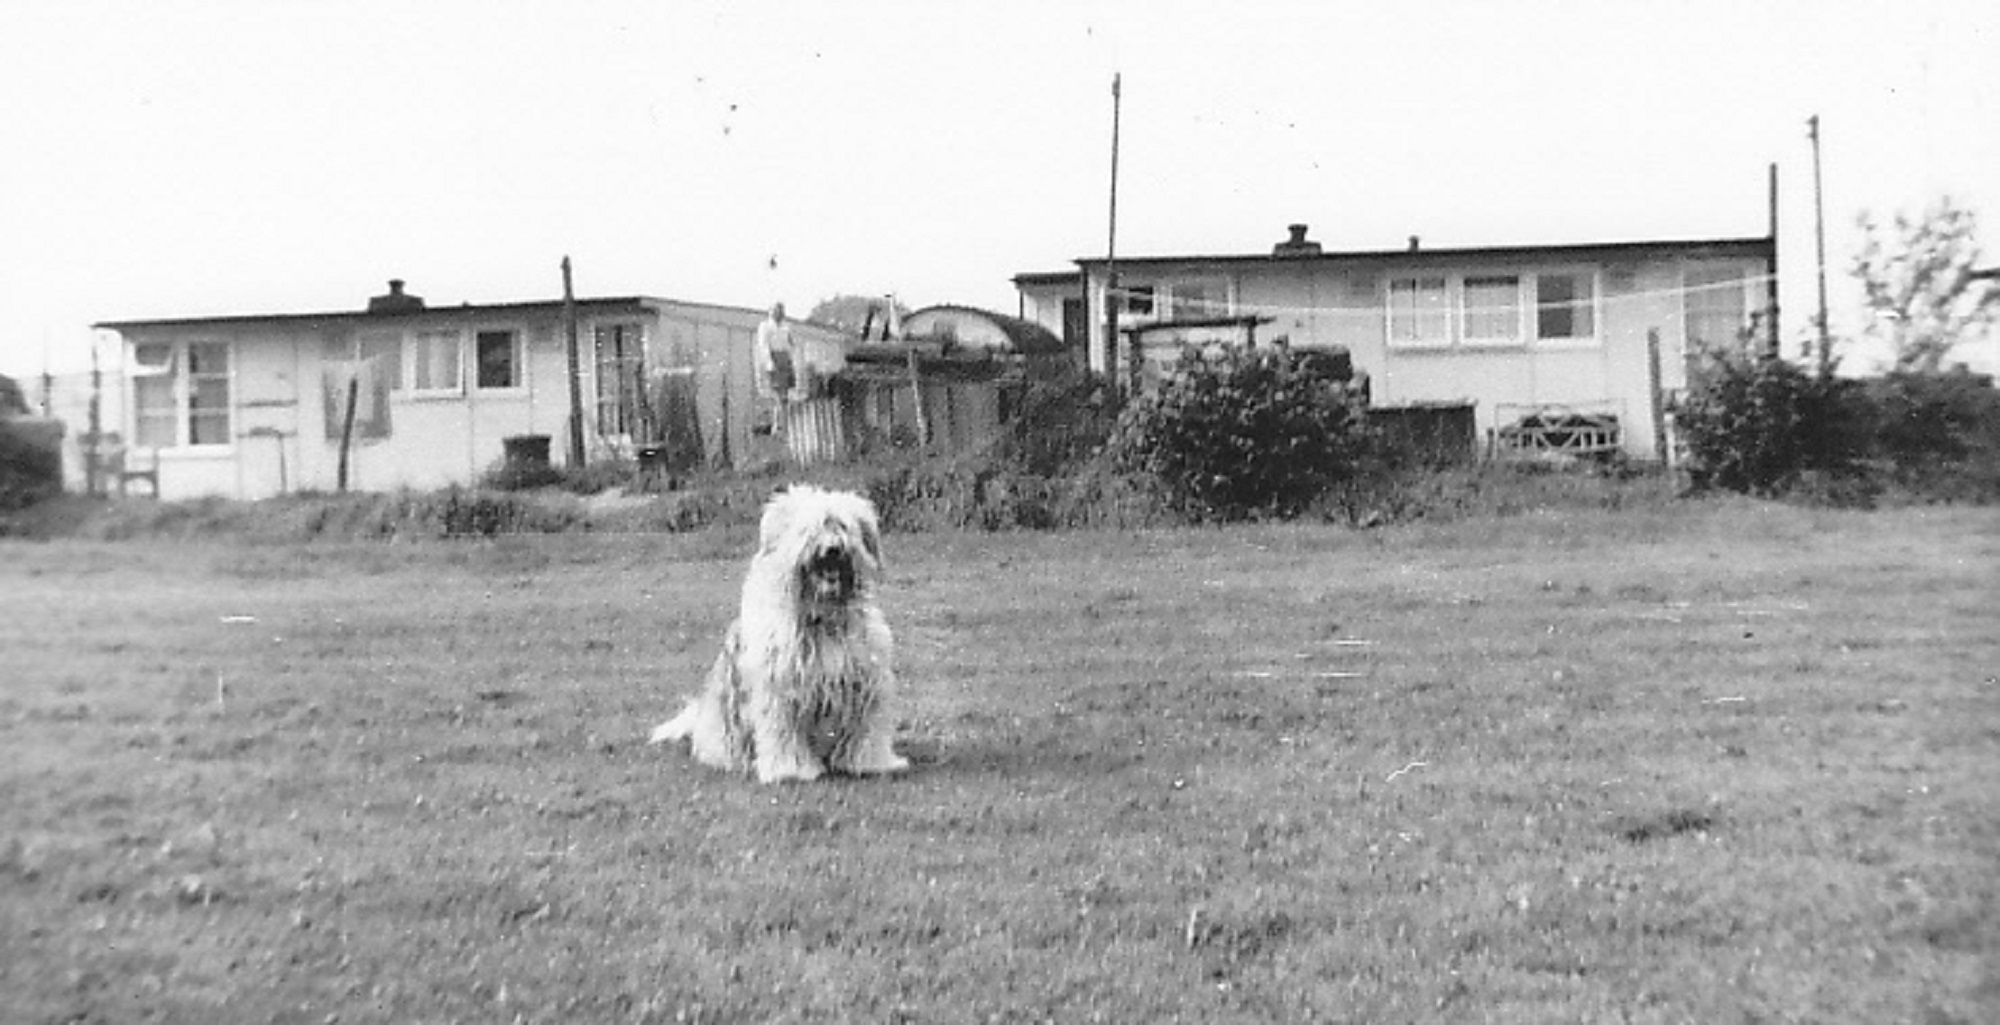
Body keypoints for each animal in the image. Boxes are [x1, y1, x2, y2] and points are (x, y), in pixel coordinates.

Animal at [648, 484, 908, 780]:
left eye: (841, 525)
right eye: (809, 528)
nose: (832, 550)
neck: (822, 616)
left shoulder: (866, 683)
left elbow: (866, 732)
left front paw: (873, 763)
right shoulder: (780, 691)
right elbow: (784, 736)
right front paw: (790, 770)